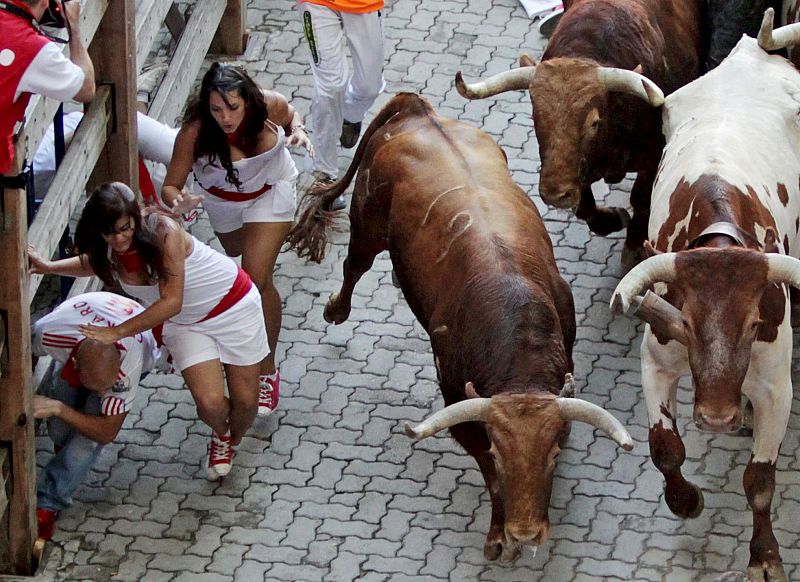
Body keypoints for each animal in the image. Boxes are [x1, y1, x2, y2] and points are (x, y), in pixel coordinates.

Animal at [288, 93, 632, 564]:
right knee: (354, 265)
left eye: (552, 455)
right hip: (367, 223)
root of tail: (421, 112)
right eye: (501, 456)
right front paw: (498, 534)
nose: (526, 532)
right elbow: (485, 470)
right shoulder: (458, 402)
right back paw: (336, 310)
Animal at [454, 0, 704, 266]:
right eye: (536, 115)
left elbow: (641, 198)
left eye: (594, 123)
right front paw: (612, 220)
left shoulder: (655, 155)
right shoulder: (578, 168)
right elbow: (584, 206)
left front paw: (635, 244)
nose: (555, 194)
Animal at [612, 12, 800, 582]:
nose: (716, 417)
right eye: (687, 323)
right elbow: (664, 446)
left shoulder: (776, 388)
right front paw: (685, 500)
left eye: (753, 324)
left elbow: (759, 481)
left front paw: (765, 556)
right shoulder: (656, 360)